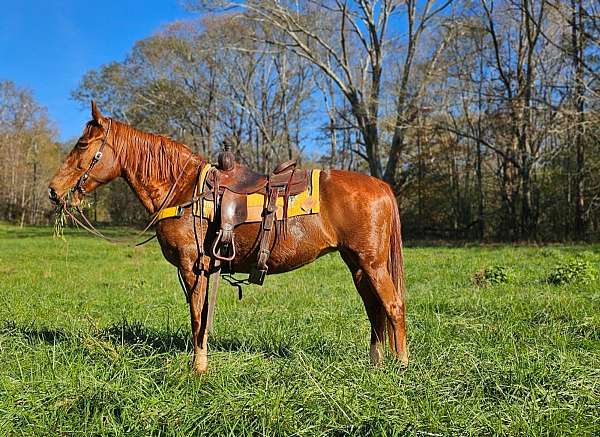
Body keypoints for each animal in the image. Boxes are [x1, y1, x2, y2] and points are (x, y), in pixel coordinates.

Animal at [48, 102, 408, 372]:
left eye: (82, 145)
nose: (53, 190)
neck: (183, 190)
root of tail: (381, 186)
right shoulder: (206, 269)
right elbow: (203, 314)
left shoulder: (191, 267)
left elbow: (197, 316)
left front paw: (198, 367)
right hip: (357, 265)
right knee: (374, 309)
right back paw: (375, 363)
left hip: (373, 264)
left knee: (392, 306)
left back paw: (401, 365)